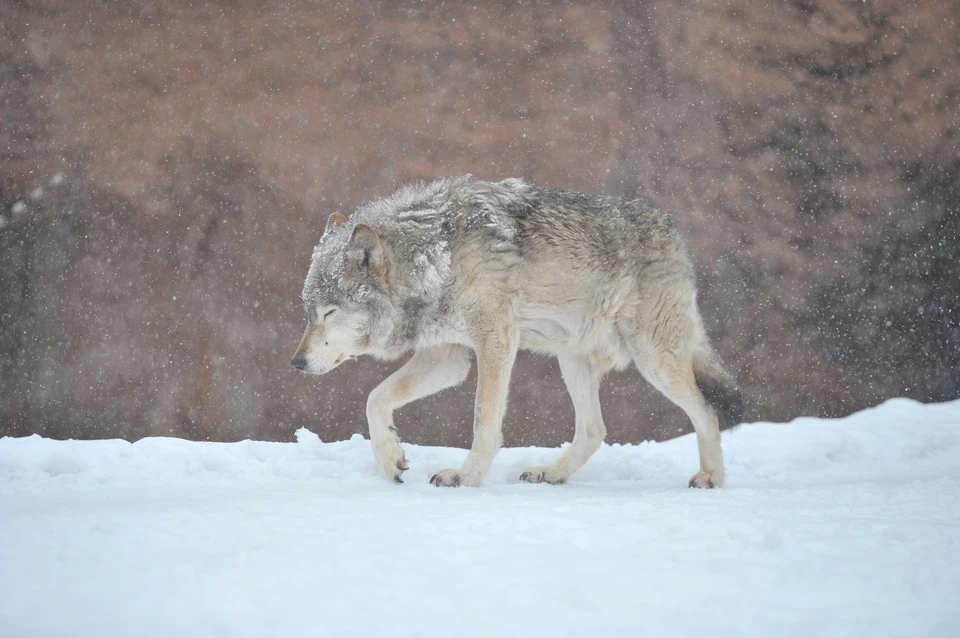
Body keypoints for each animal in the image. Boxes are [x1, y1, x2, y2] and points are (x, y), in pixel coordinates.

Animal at [292, 176, 744, 490]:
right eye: (308, 313)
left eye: (330, 312)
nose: (296, 362)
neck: (437, 258)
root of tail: (673, 231)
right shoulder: (449, 357)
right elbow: (375, 398)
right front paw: (390, 458)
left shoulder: (496, 340)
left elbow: (483, 419)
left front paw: (467, 477)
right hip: (572, 360)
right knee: (594, 431)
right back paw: (552, 473)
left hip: (654, 360)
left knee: (707, 411)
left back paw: (711, 478)